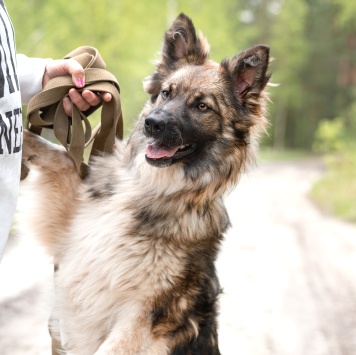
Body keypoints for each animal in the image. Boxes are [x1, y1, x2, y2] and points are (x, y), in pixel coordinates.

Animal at [20, 12, 272, 354]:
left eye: (202, 106)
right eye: (166, 93)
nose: (153, 124)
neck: (152, 187)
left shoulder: (141, 317)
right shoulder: (69, 235)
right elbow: (60, 157)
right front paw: (22, 136)